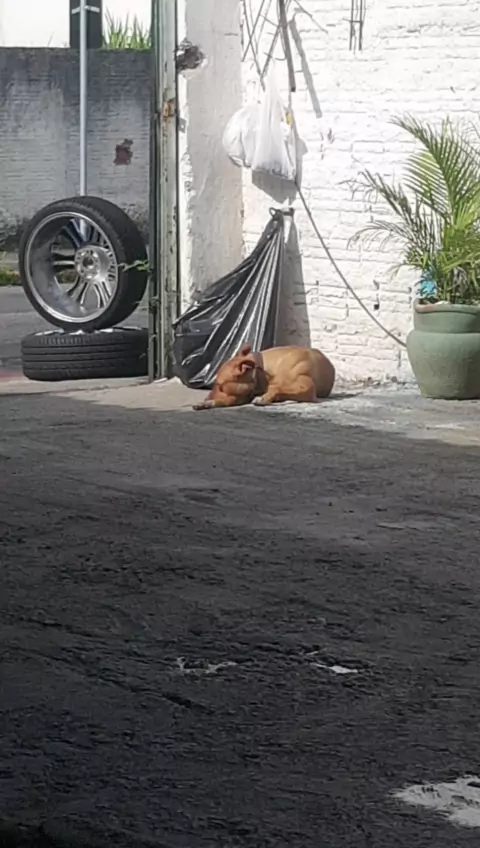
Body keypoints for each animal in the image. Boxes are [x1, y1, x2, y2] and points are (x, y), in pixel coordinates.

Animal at [193, 344, 335, 410]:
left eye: (219, 385)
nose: (206, 398)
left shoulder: (307, 387)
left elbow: (276, 387)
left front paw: (264, 397)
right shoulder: (239, 396)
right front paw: (205, 403)